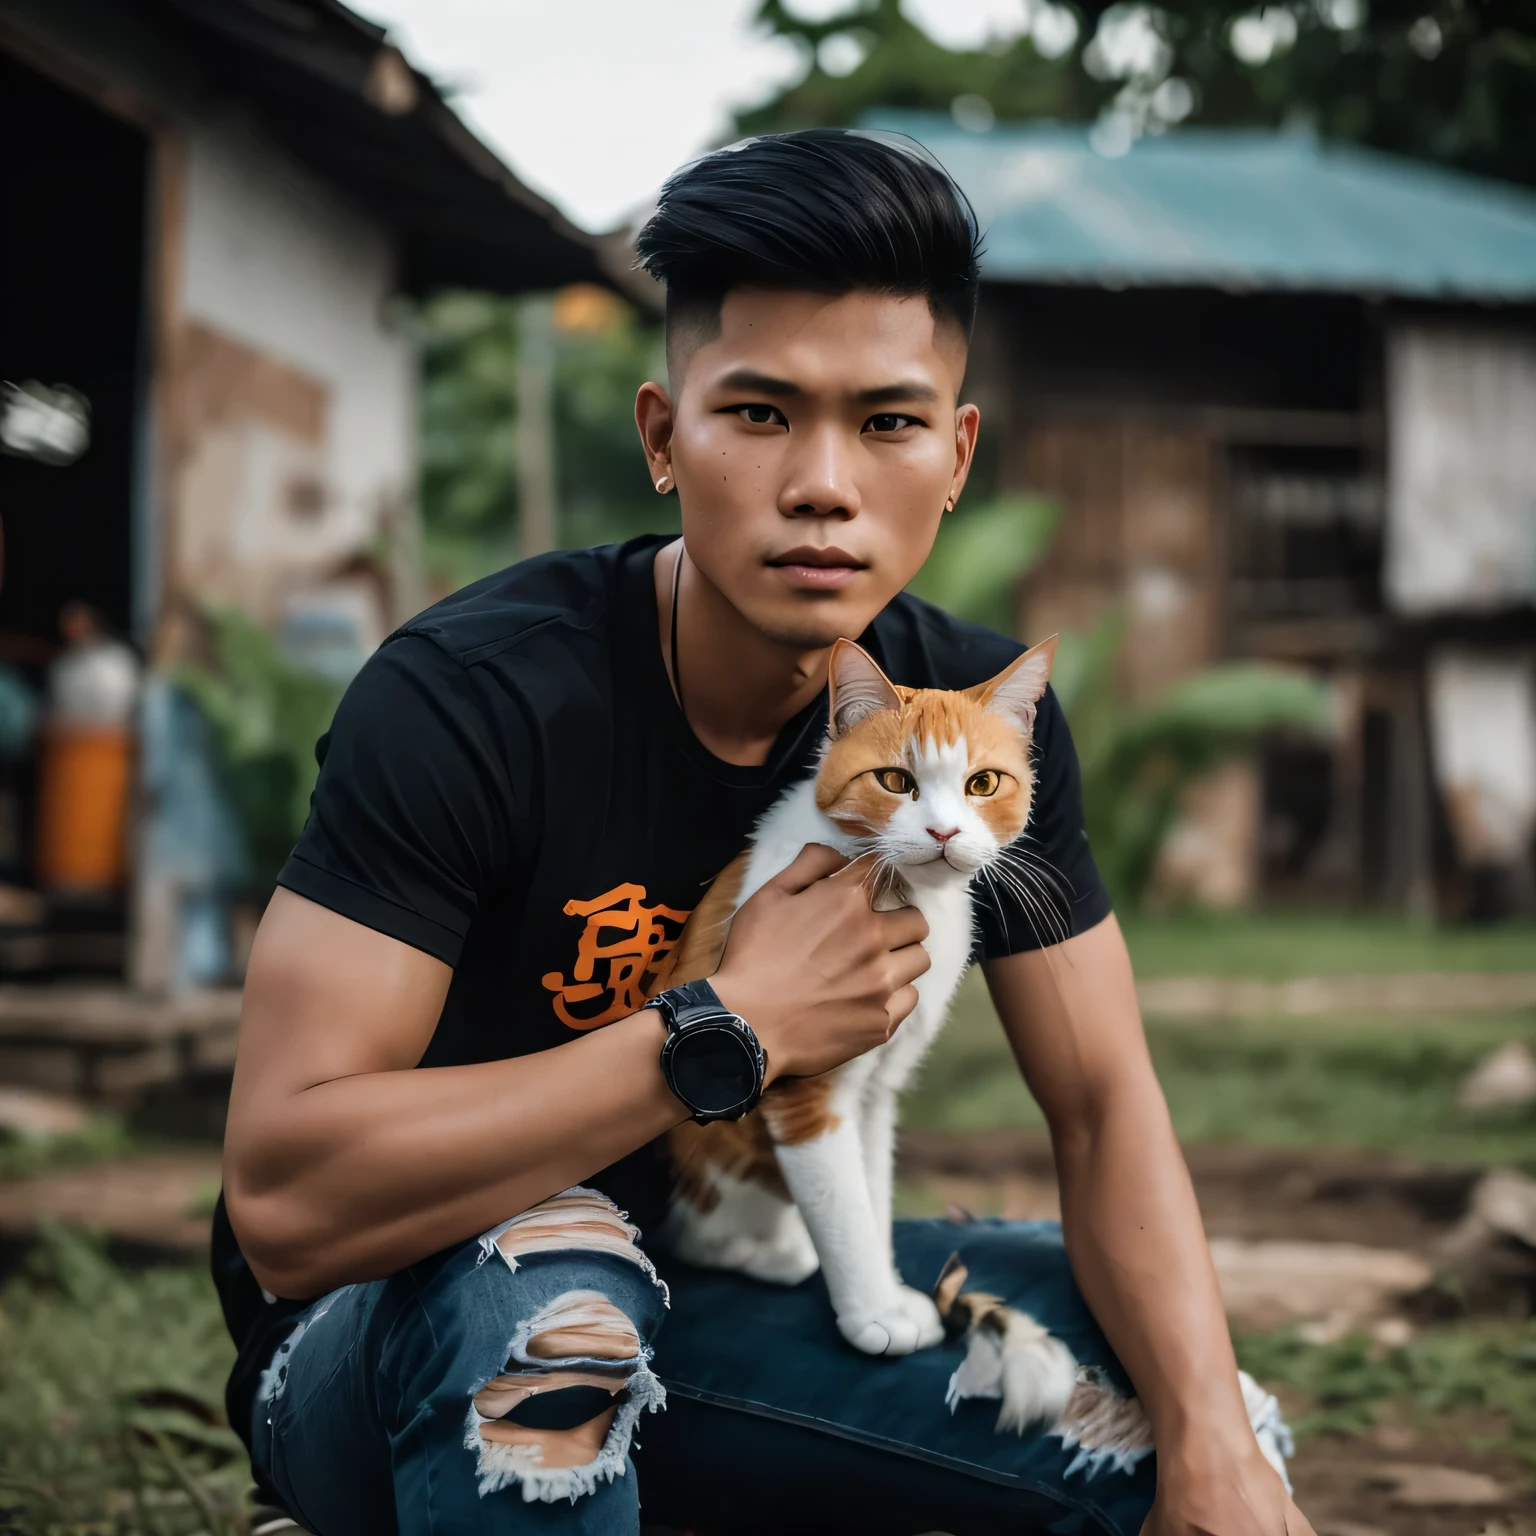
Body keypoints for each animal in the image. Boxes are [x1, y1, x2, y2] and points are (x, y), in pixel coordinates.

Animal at [654, 635, 1075, 1413]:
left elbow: (872, 1189)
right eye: (895, 781)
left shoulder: (878, 1089)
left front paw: (891, 1294)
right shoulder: (807, 1091)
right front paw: (871, 1314)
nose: (942, 831)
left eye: (982, 784)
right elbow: (842, 1201)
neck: (909, 902)